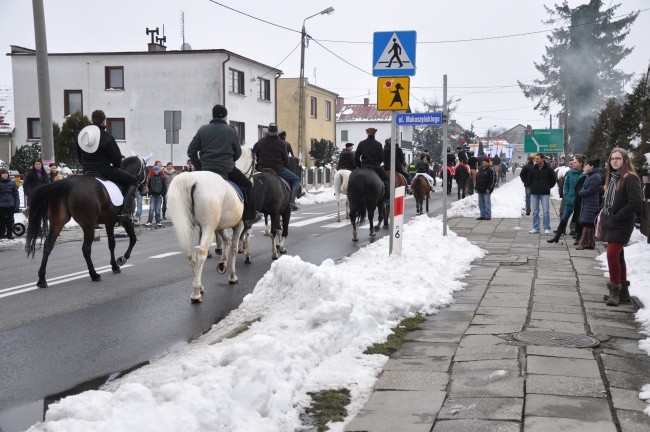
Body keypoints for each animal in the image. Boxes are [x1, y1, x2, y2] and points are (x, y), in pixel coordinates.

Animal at [24, 157, 146, 288]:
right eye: (146, 170)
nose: (145, 190)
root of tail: (69, 182)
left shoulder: (109, 222)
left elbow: (111, 244)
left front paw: (114, 266)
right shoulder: (126, 221)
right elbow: (133, 239)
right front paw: (122, 259)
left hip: (58, 222)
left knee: (48, 245)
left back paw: (42, 279)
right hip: (89, 225)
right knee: (86, 249)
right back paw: (94, 274)